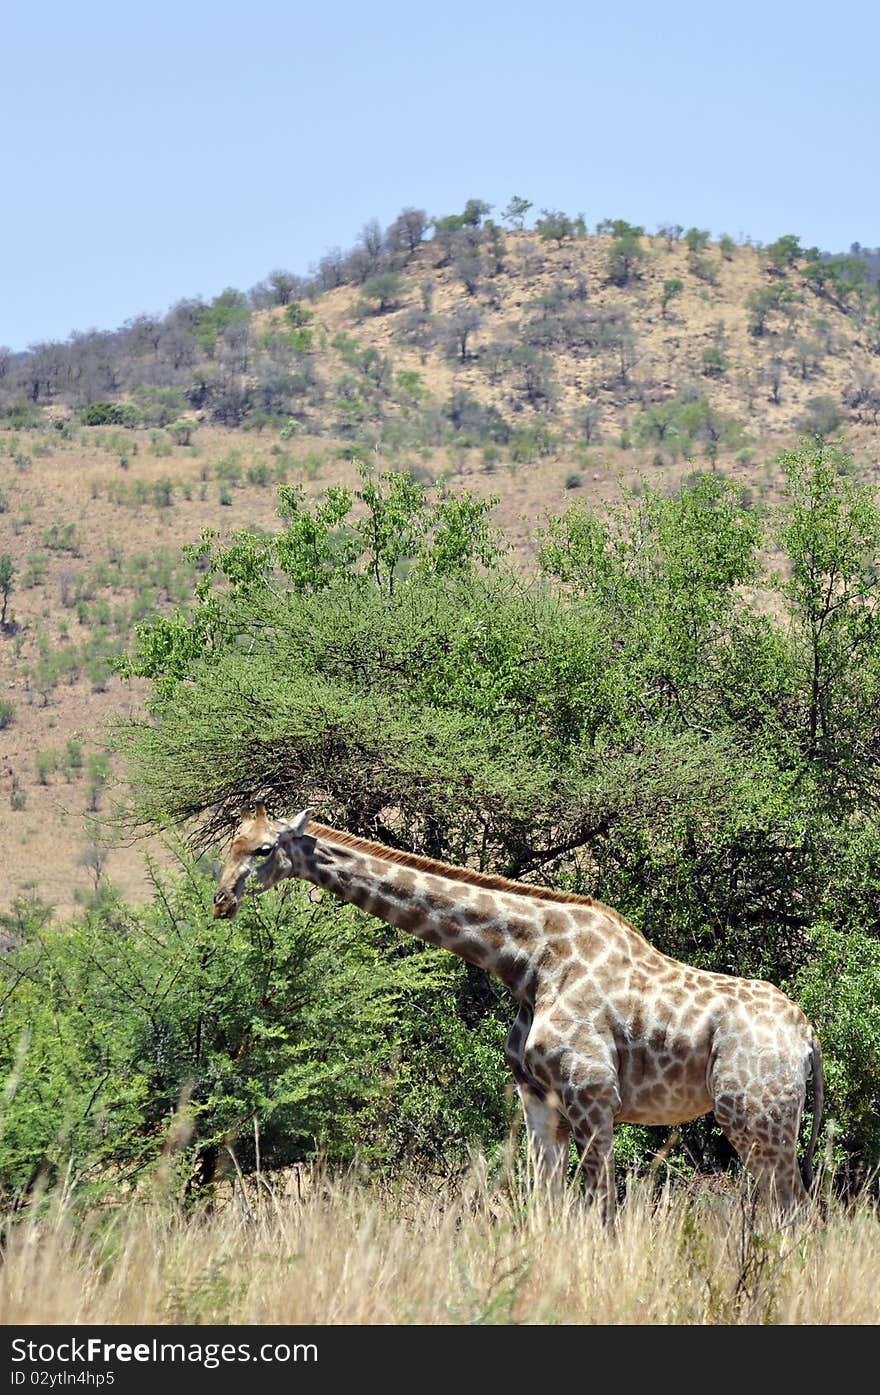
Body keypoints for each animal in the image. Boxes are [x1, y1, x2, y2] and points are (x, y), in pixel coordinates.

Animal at [213, 809, 825, 1222]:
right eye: (228, 846)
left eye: (262, 850)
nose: (221, 900)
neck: (529, 963)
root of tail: (807, 1035)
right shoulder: (538, 1098)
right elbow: (547, 1202)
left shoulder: (593, 1095)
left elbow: (601, 1209)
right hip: (770, 1119)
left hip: (754, 1114)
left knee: (794, 1207)